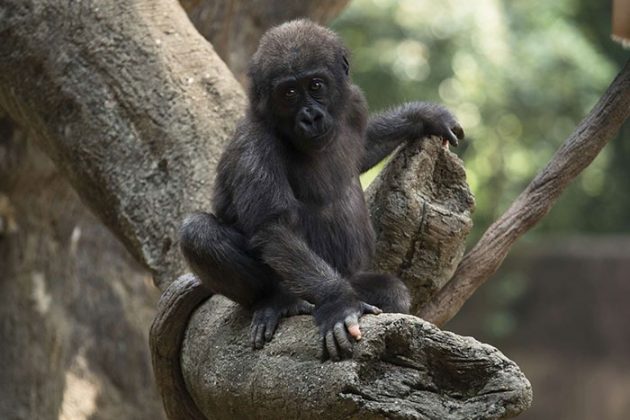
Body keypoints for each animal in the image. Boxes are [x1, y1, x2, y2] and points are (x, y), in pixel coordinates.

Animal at [180, 19, 466, 360]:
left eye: (316, 85)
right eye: (289, 93)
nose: (311, 116)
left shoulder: (354, 102)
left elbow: (365, 145)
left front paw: (425, 116)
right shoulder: (255, 144)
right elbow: (274, 228)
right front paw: (339, 304)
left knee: (392, 292)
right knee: (198, 233)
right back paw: (277, 300)